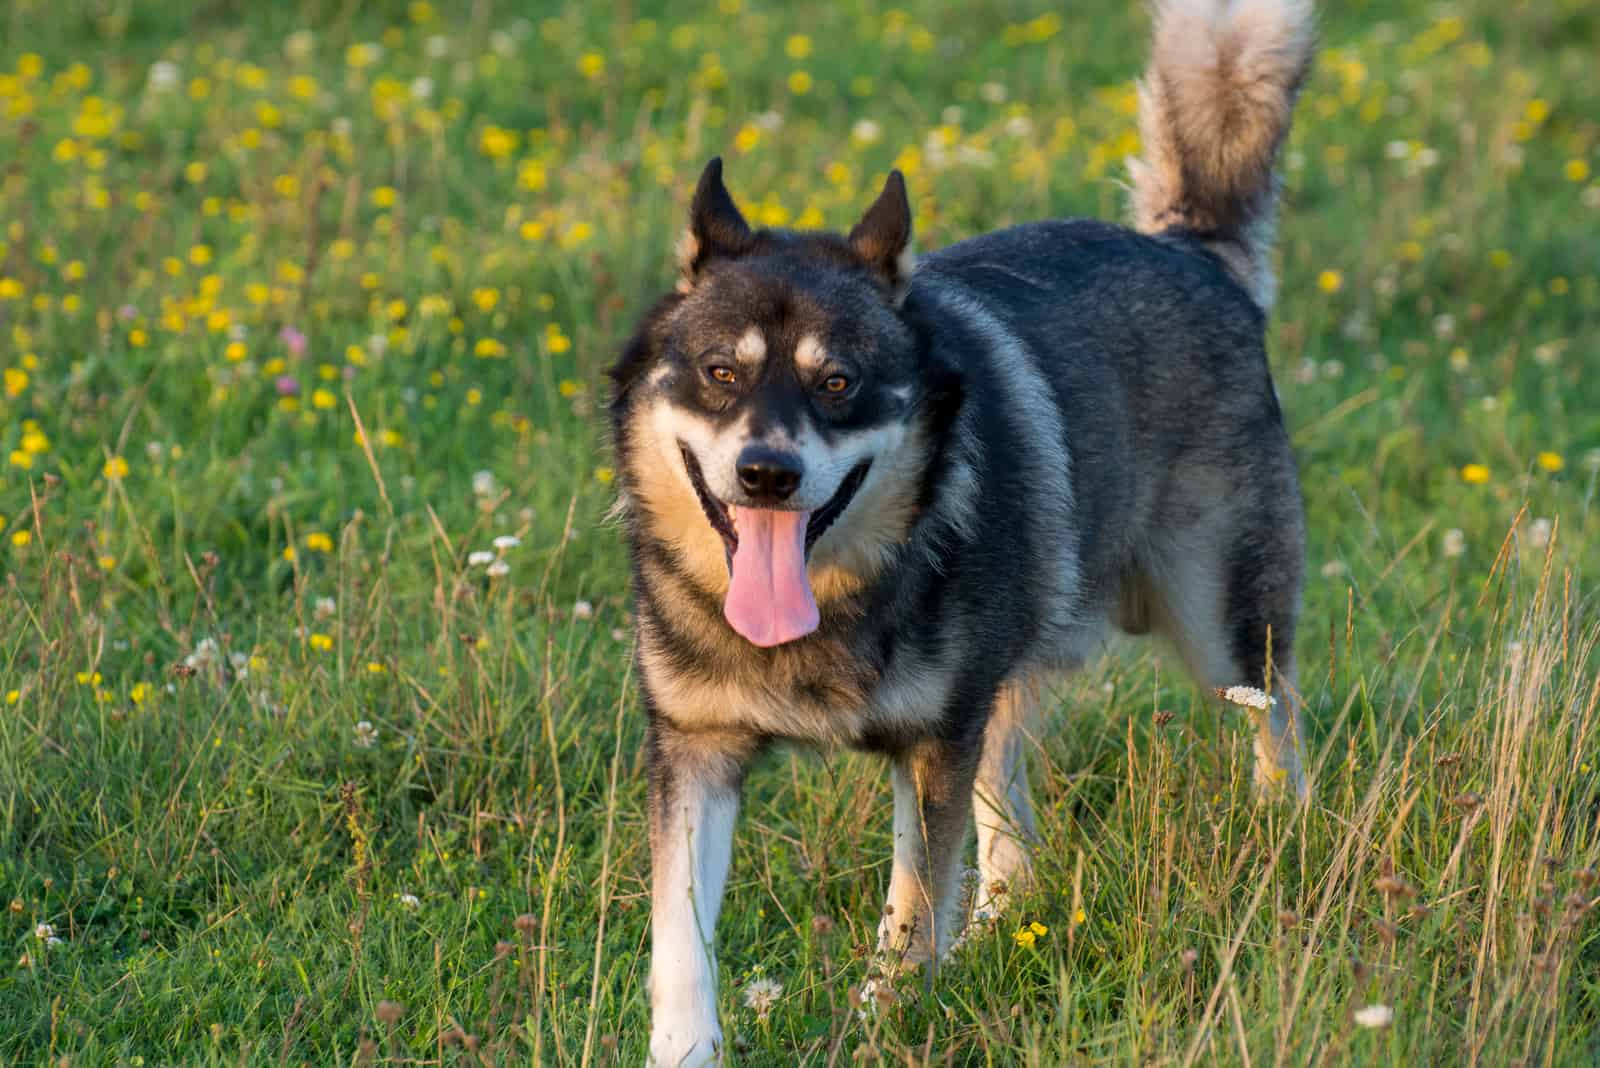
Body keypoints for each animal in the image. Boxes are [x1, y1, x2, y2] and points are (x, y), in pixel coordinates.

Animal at [608, 0, 1312, 1061]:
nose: (767, 473)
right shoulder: (697, 748)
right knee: (1012, 835)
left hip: (1221, 623)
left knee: (1277, 723)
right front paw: (686, 1046)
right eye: (720, 373)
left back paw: (1284, 838)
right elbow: (680, 940)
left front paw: (886, 1016)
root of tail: (1190, 249)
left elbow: (911, 904)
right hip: (1012, 670)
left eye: (839, 382)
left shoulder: (932, 740)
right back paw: (1000, 934)